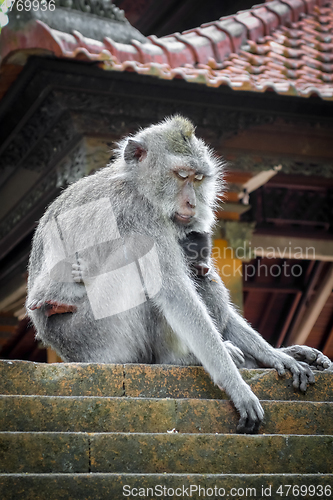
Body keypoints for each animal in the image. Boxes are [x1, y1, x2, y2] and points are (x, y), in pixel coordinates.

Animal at [27, 114, 330, 434]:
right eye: (181, 175)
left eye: (198, 179)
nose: (192, 203)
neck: (136, 185)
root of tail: (62, 350)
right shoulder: (140, 216)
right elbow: (174, 293)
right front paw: (237, 386)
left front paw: (275, 355)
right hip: (97, 338)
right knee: (140, 268)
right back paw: (181, 359)